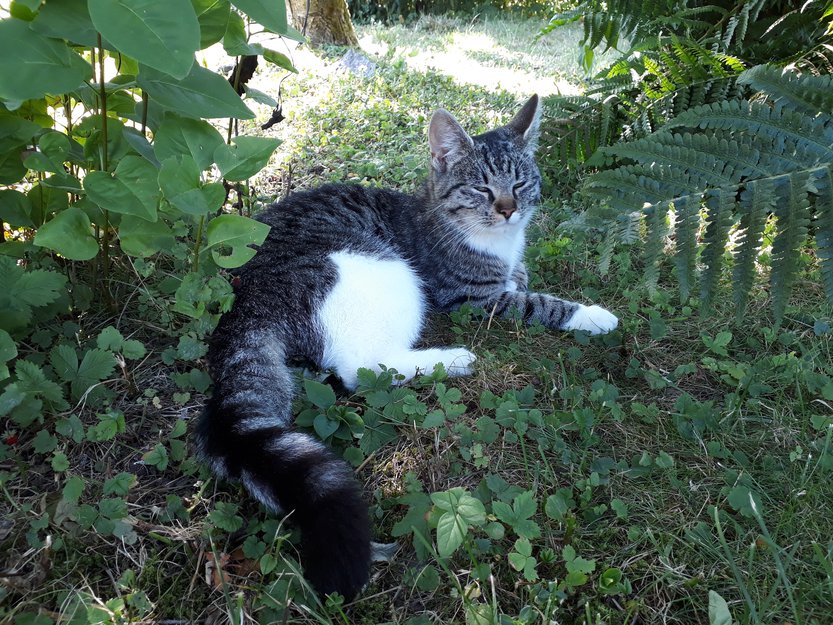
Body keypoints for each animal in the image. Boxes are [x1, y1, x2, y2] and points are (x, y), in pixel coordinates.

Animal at [195, 94, 618, 600]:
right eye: (481, 188)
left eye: (520, 182)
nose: (509, 210)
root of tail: (245, 301)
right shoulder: (472, 299)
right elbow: (537, 303)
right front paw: (590, 314)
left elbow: (522, 280)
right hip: (380, 268)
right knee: (362, 367)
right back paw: (452, 359)